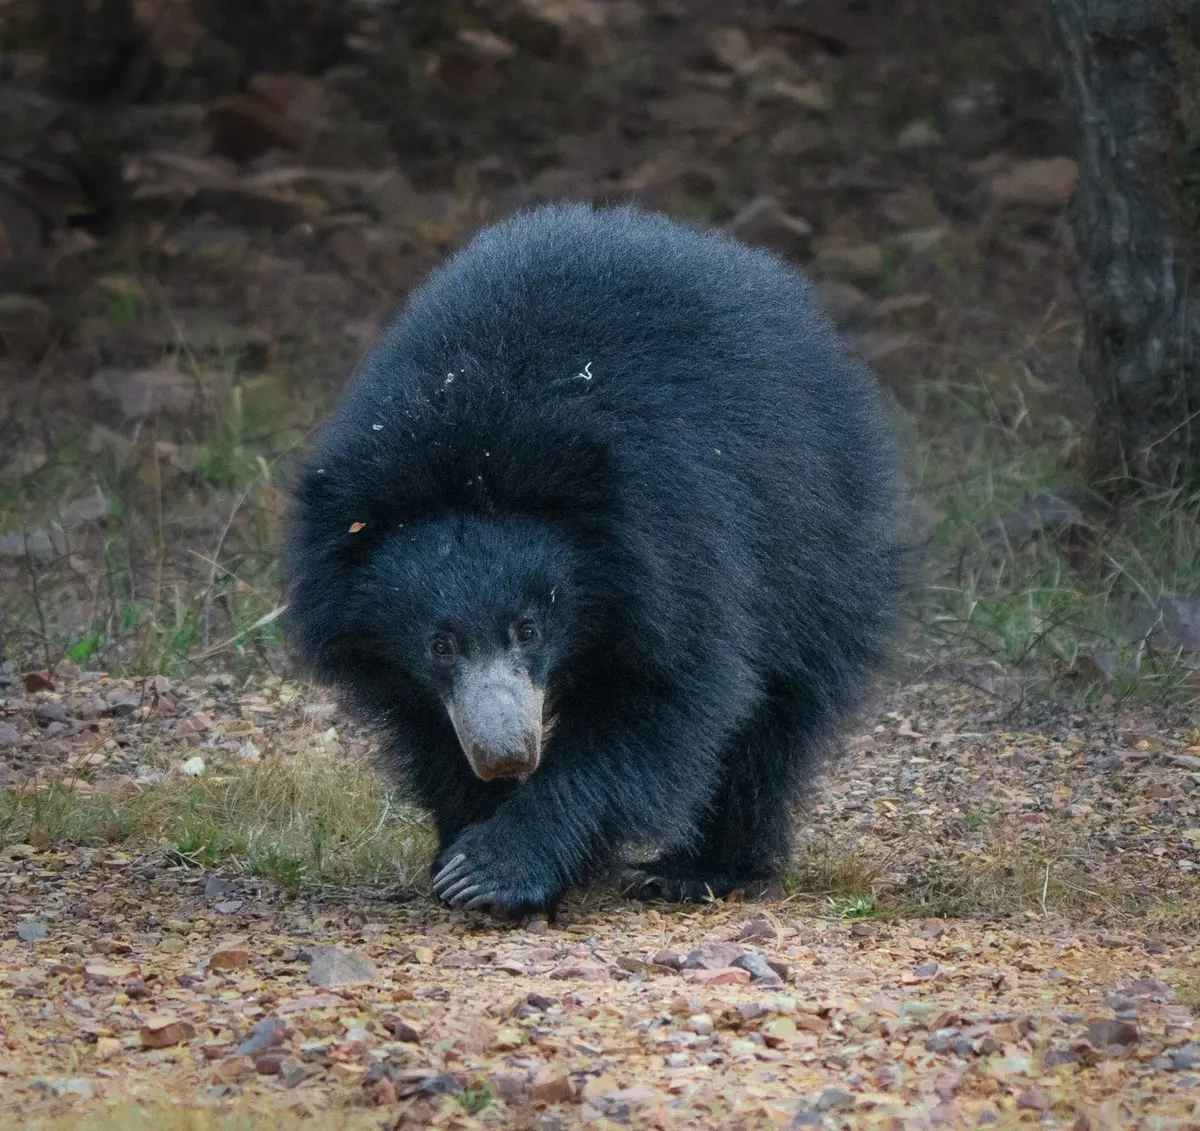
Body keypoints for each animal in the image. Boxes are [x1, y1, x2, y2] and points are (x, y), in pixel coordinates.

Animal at [283, 202, 906, 916]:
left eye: (528, 629)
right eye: (441, 645)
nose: (506, 754)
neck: (476, 447)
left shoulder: (675, 548)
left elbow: (664, 697)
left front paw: (494, 868)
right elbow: (428, 727)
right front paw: (463, 842)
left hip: (813, 538)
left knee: (781, 705)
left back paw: (698, 868)